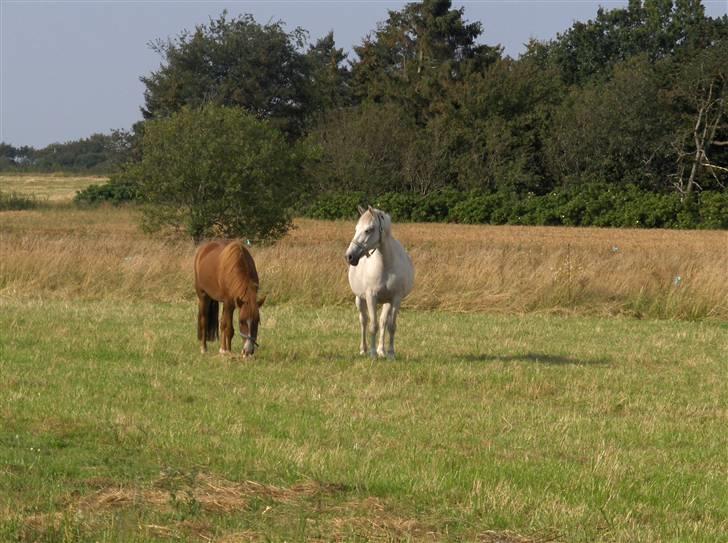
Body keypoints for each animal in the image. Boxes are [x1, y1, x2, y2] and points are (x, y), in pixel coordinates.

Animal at [344, 206, 412, 360]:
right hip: (359, 299)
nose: (349, 256)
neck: (386, 265)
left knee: (383, 322)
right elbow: (372, 325)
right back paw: (364, 349)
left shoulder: (396, 299)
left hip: (387, 302)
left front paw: (391, 354)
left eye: (369, 230)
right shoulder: (371, 297)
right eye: (356, 229)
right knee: (363, 321)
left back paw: (382, 351)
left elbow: (391, 326)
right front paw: (372, 354)